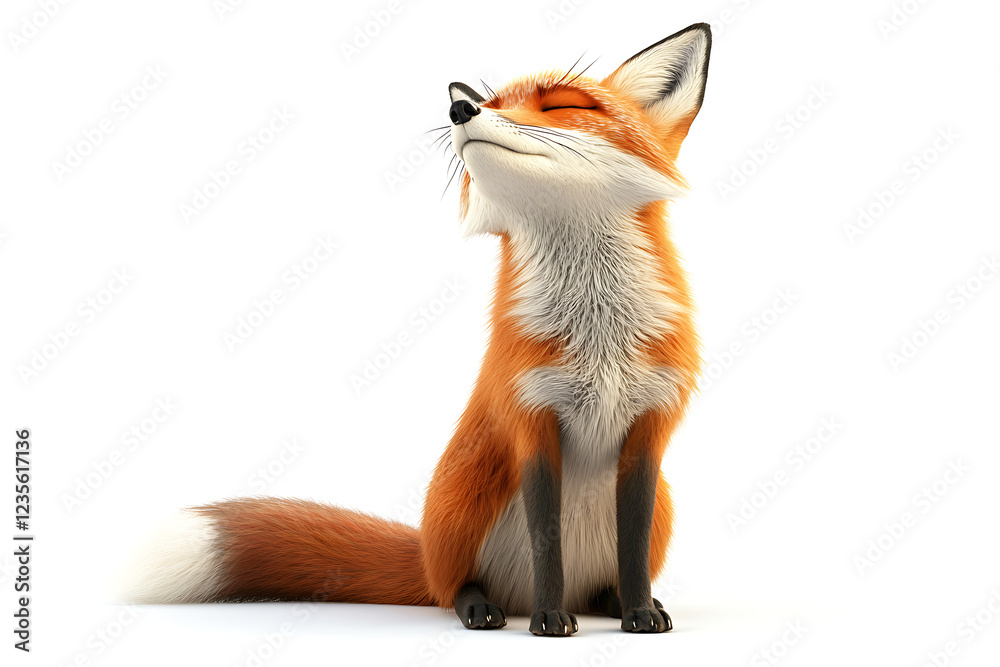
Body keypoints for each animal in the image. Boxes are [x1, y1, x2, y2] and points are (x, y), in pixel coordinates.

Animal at [121, 23, 711, 636]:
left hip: (663, 509)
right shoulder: (531, 422)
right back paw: (485, 606)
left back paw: (614, 602)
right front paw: (550, 620)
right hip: (467, 500)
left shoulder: (649, 430)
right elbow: (545, 543)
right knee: (453, 586)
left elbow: (632, 547)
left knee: (605, 576)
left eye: (565, 105)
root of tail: (427, 553)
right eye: (490, 102)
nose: (461, 108)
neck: (599, 338)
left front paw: (640, 612)